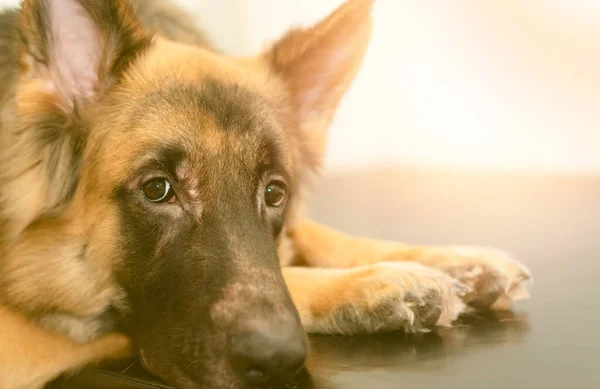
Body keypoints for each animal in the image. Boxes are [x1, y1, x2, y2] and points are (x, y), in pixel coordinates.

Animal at [0, 0, 536, 386]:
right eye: (158, 189)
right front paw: (378, 282)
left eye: (275, 194)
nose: (277, 361)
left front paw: (455, 261)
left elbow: (311, 232)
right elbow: (291, 272)